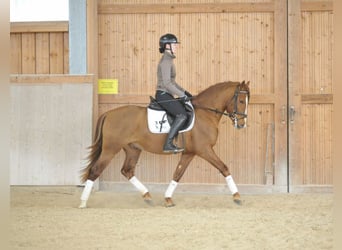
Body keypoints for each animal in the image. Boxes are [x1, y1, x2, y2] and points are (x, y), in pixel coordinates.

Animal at [80, 80, 251, 207]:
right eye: (241, 101)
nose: (241, 124)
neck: (205, 113)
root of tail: (108, 113)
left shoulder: (189, 153)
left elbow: (177, 174)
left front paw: (168, 198)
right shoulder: (205, 150)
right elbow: (224, 167)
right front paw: (237, 196)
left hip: (133, 149)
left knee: (127, 171)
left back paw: (147, 196)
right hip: (110, 149)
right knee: (95, 170)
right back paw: (83, 202)